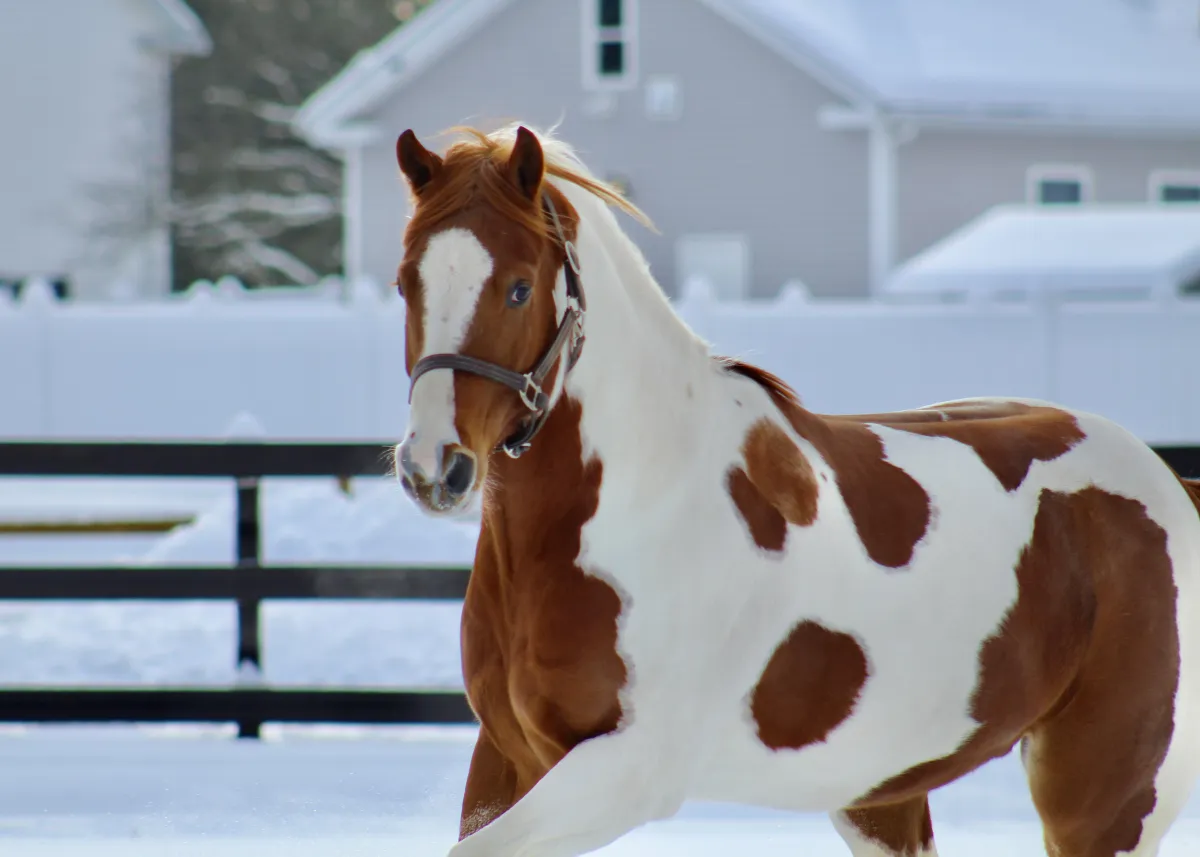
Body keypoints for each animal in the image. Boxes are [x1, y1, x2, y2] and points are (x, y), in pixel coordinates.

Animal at [391, 122, 1200, 857]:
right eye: (406, 282)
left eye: (519, 286)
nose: (434, 466)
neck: (643, 497)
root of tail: (1172, 483)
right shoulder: (508, 755)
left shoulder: (625, 771)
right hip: (883, 796)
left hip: (1103, 803)